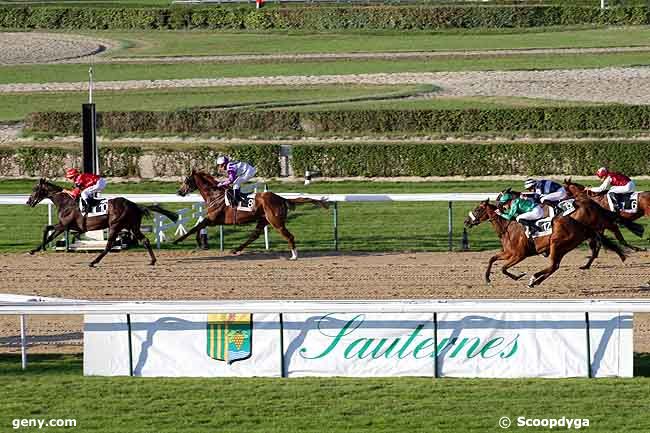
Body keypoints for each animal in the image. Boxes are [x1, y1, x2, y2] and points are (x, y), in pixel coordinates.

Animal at [25, 177, 177, 264]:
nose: (28, 202)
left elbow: (49, 232)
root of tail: (134, 205)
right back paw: (152, 261)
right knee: (145, 240)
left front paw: (37, 248)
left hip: (115, 225)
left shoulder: (64, 225)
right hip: (132, 226)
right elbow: (47, 228)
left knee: (109, 245)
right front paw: (36, 249)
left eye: (35, 188)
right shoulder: (69, 226)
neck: (66, 202)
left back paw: (93, 262)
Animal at [173, 170, 330, 258]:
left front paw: (177, 241)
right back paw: (236, 249)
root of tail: (282, 198)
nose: (179, 192)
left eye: (186, 180)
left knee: (289, 236)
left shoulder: (212, 219)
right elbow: (198, 227)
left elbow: (196, 227)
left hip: (276, 222)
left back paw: (294, 256)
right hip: (263, 220)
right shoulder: (212, 220)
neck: (215, 195)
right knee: (254, 236)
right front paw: (200, 243)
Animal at [460, 198, 624, 286]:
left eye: (477, 209)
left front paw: (518, 276)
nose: (466, 221)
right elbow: (492, 259)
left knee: (553, 266)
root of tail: (581, 226)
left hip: (556, 244)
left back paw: (534, 279)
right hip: (562, 248)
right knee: (554, 266)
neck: (508, 227)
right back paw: (536, 280)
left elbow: (503, 268)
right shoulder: (508, 252)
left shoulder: (519, 255)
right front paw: (487, 278)